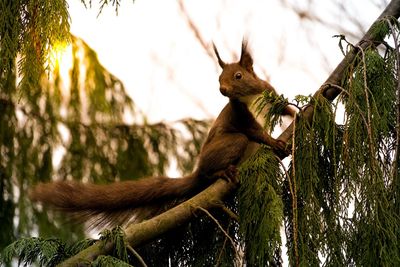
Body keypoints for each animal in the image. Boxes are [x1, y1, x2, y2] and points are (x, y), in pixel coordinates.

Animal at [29, 42, 296, 230]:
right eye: (219, 78)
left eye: (238, 76)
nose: (223, 89)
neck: (250, 97)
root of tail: (197, 170)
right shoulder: (240, 116)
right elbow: (255, 131)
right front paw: (274, 142)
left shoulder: (270, 94)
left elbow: (284, 108)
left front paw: (296, 113)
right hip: (226, 148)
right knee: (224, 157)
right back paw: (221, 172)